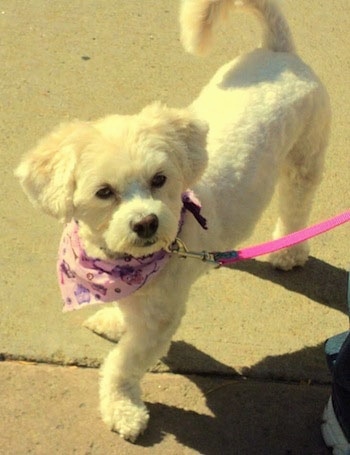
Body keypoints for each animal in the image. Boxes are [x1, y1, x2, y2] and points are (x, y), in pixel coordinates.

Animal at [15, 0, 330, 444]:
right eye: (104, 192)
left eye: (159, 179)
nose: (147, 223)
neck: (123, 264)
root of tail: (280, 51)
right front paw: (115, 321)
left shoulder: (159, 321)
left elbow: (122, 364)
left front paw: (123, 408)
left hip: (305, 158)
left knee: (297, 203)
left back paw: (289, 250)